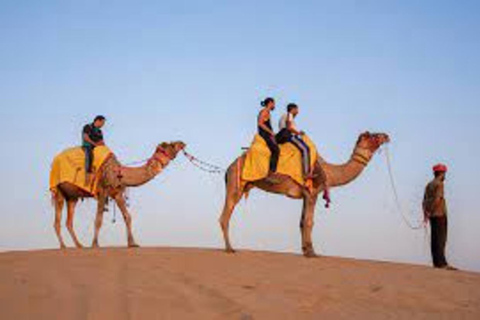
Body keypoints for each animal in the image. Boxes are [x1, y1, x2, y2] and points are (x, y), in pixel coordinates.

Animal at [50, 141, 186, 249]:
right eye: (171, 145)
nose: (182, 143)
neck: (119, 173)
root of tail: (55, 160)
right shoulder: (102, 192)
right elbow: (98, 219)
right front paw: (95, 244)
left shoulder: (117, 194)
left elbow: (127, 216)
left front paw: (132, 243)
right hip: (59, 190)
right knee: (57, 220)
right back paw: (63, 246)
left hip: (72, 197)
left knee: (69, 221)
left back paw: (79, 245)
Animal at [218, 132, 390, 258]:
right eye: (372, 135)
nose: (386, 135)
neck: (329, 172)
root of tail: (229, 167)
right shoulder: (312, 193)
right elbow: (309, 222)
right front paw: (312, 252)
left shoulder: (305, 196)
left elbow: (301, 222)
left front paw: (305, 250)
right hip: (235, 183)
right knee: (225, 216)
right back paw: (229, 248)